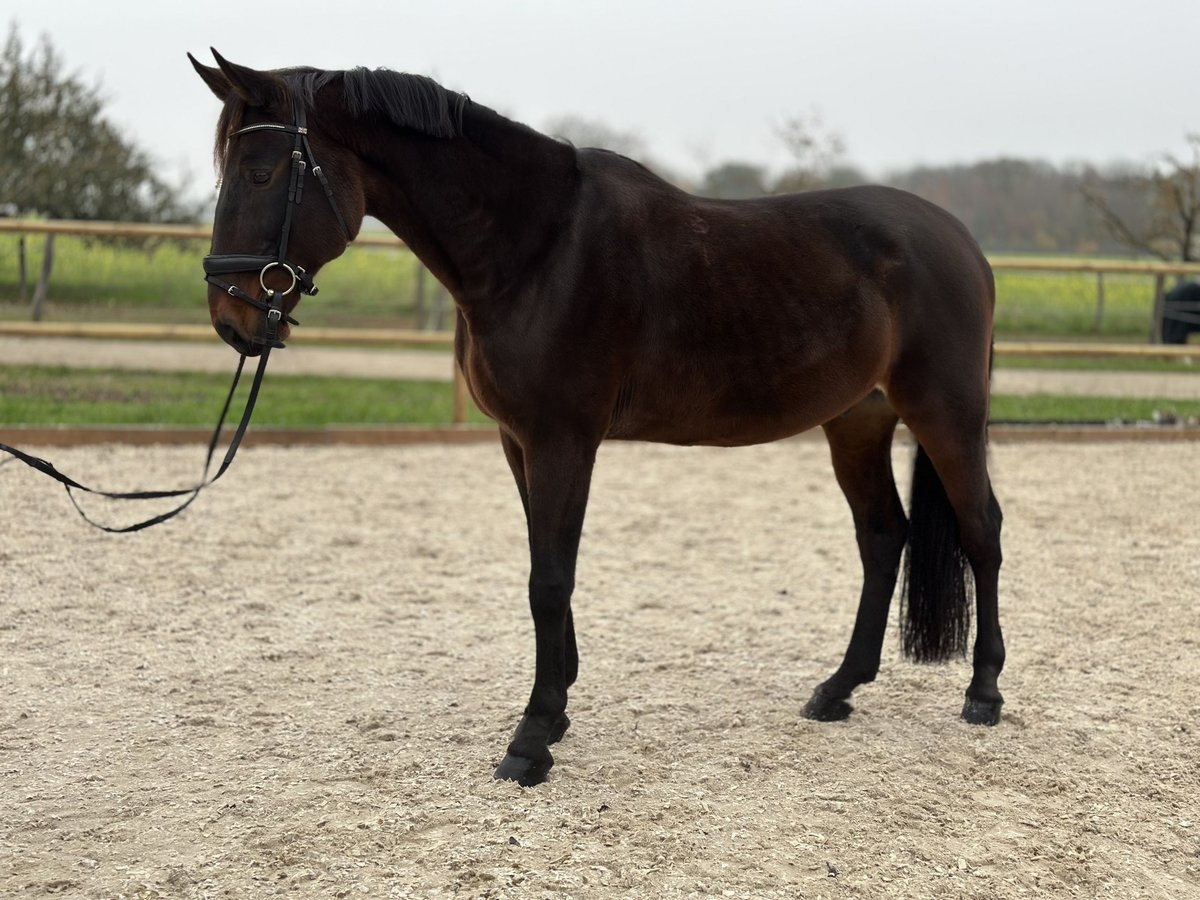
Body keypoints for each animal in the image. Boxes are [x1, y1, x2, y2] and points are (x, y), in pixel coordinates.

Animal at [192, 49, 1008, 787]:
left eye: (261, 174)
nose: (232, 320)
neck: (536, 246)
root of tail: (962, 242)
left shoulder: (563, 439)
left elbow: (550, 579)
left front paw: (530, 741)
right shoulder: (518, 441)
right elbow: (544, 565)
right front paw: (555, 710)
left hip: (944, 411)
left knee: (981, 530)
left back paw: (984, 693)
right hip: (857, 421)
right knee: (883, 536)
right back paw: (837, 690)